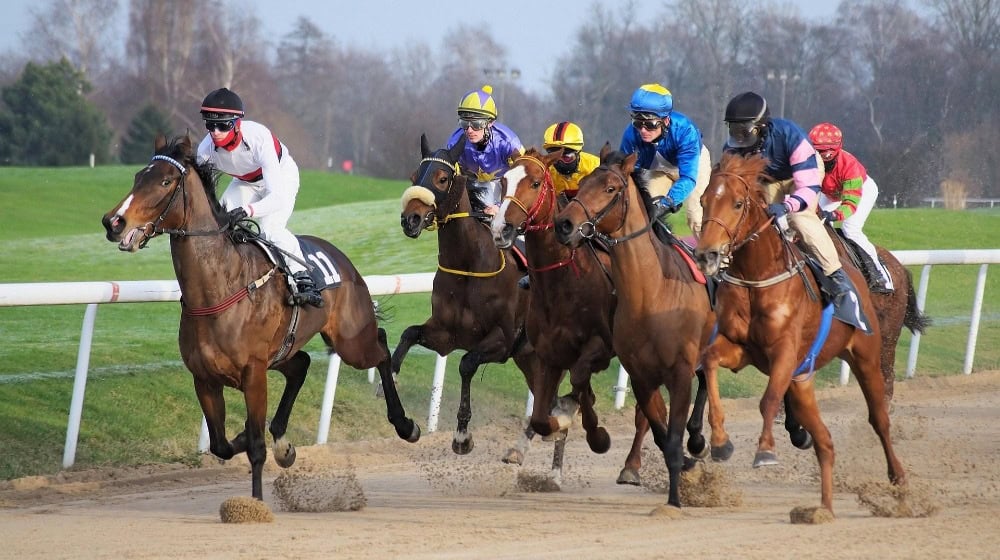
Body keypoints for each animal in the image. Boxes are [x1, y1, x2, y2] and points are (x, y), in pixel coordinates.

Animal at [98, 135, 418, 498]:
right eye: (138, 176)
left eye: (165, 181)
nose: (114, 222)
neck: (219, 289)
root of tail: (343, 260)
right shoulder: (205, 378)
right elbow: (222, 445)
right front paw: (260, 441)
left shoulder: (253, 374)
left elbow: (256, 448)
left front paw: (257, 499)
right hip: (283, 352)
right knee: (302, 364)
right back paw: (283, 439)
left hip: (351, 342)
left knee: (380, 347)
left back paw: (405, 424)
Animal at [392, 135, 540, 456]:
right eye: (413, 176)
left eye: (442, 178)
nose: (410, 220)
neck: (469, 265)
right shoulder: (445, 334)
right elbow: (409, 334)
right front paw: (391, 382)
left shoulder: (503, 340)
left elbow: (467, 363)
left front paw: (462, 436)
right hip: (528, 357)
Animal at [490, 149, 660, 486]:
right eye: (503, 181)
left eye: (535, 182)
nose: (501, 229)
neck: (562, 283)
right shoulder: (547, 355)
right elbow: (542, 417)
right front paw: (559, 421)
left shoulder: (599, 348)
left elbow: (580, 383)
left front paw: (595, 434)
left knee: (647, 410)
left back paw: (632, 466)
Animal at [548, 149, 720, 508]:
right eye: (583, 183)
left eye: (611, 188)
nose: (564, 224)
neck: (651, 294)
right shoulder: (642, 375)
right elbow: (662, 434)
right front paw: (683, 466)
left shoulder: (679, 372)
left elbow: (672, 436)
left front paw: (675, 501)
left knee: (706, 380)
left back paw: (699, 438)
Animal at [692, 151, 912, 516]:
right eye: (704, 200)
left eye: (737, 203)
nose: (706, 254)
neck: (757, 277)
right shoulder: (739, 348)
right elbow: (708, 362)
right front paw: (720, 442)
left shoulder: (784, 350)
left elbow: (768, 399)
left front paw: (766, 451)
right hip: (802, 377)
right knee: (824, 437)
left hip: (868, 355)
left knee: (879, 417)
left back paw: (899, 479)